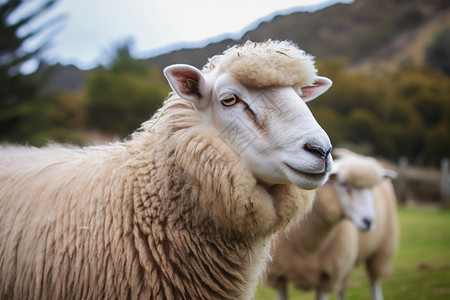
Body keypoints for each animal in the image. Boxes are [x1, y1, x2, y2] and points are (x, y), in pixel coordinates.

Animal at [266, 150, 400, 300]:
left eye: (372, 188)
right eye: (344, 183)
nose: (368, 221)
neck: (307, 244)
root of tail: (357, 157)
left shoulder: (327, 276)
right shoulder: (277, 276)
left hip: (381, 250)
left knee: (374, 282)